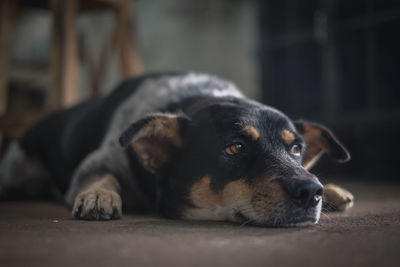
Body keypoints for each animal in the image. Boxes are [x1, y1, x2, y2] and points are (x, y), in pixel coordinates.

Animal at [0, 74, 352, 228]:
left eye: (296, 148)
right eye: (235, 148)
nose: (312, 192)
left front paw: (333, 189)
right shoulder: (94, 164)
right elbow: (102, 176)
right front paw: (100, 195)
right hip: (15, 167)